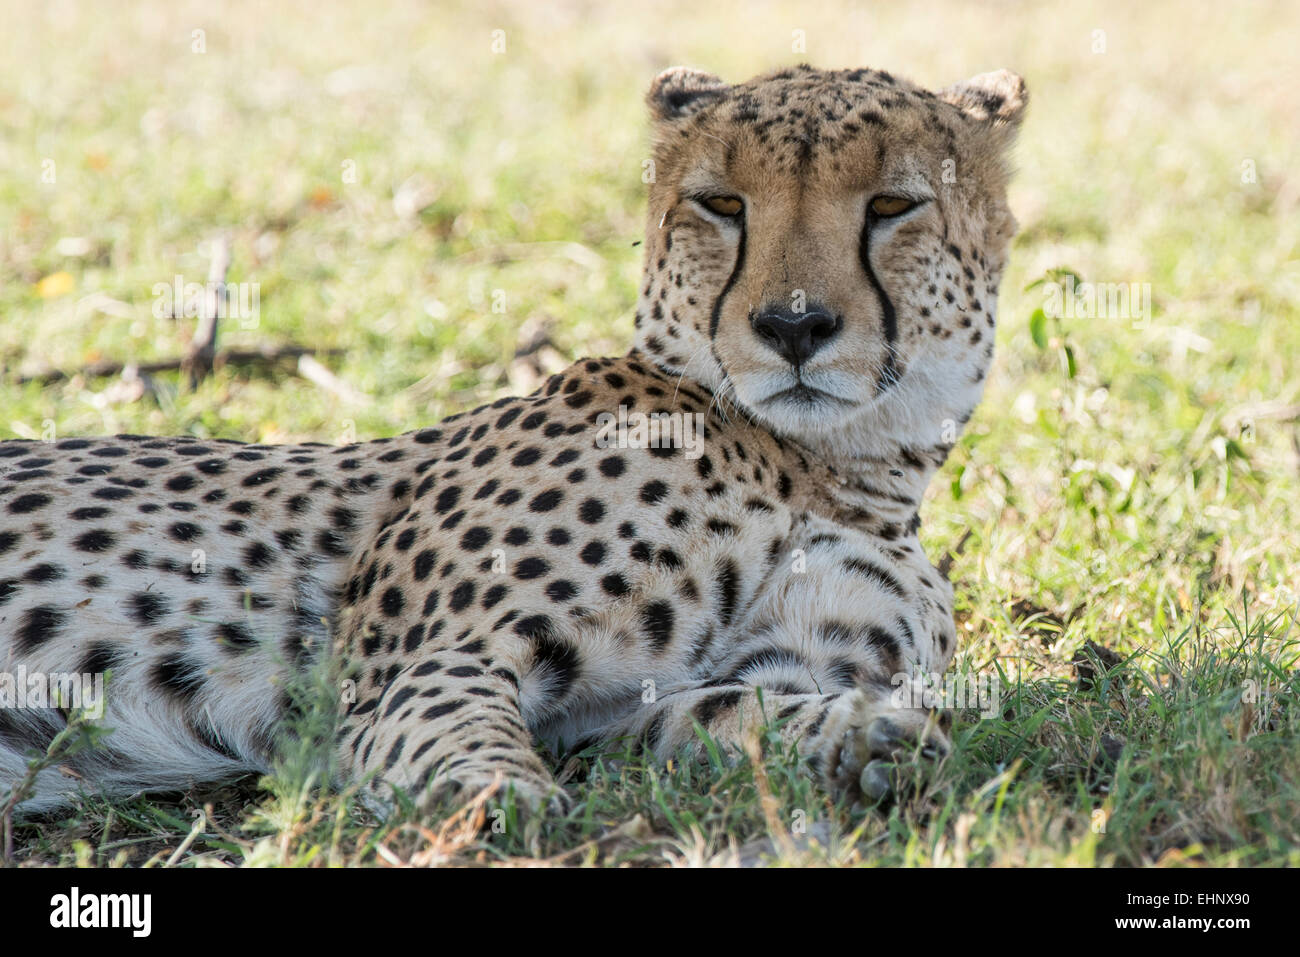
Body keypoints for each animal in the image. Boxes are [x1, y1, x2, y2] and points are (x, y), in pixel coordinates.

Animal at [0, 65, 1024, 816]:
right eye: (721, 204)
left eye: (892, 205)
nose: (793, 325)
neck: (827, 467)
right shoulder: (409, 667)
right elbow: (450, 721)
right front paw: (499, 802)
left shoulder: (633, 713)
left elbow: (744, 704)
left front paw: (864, 739)